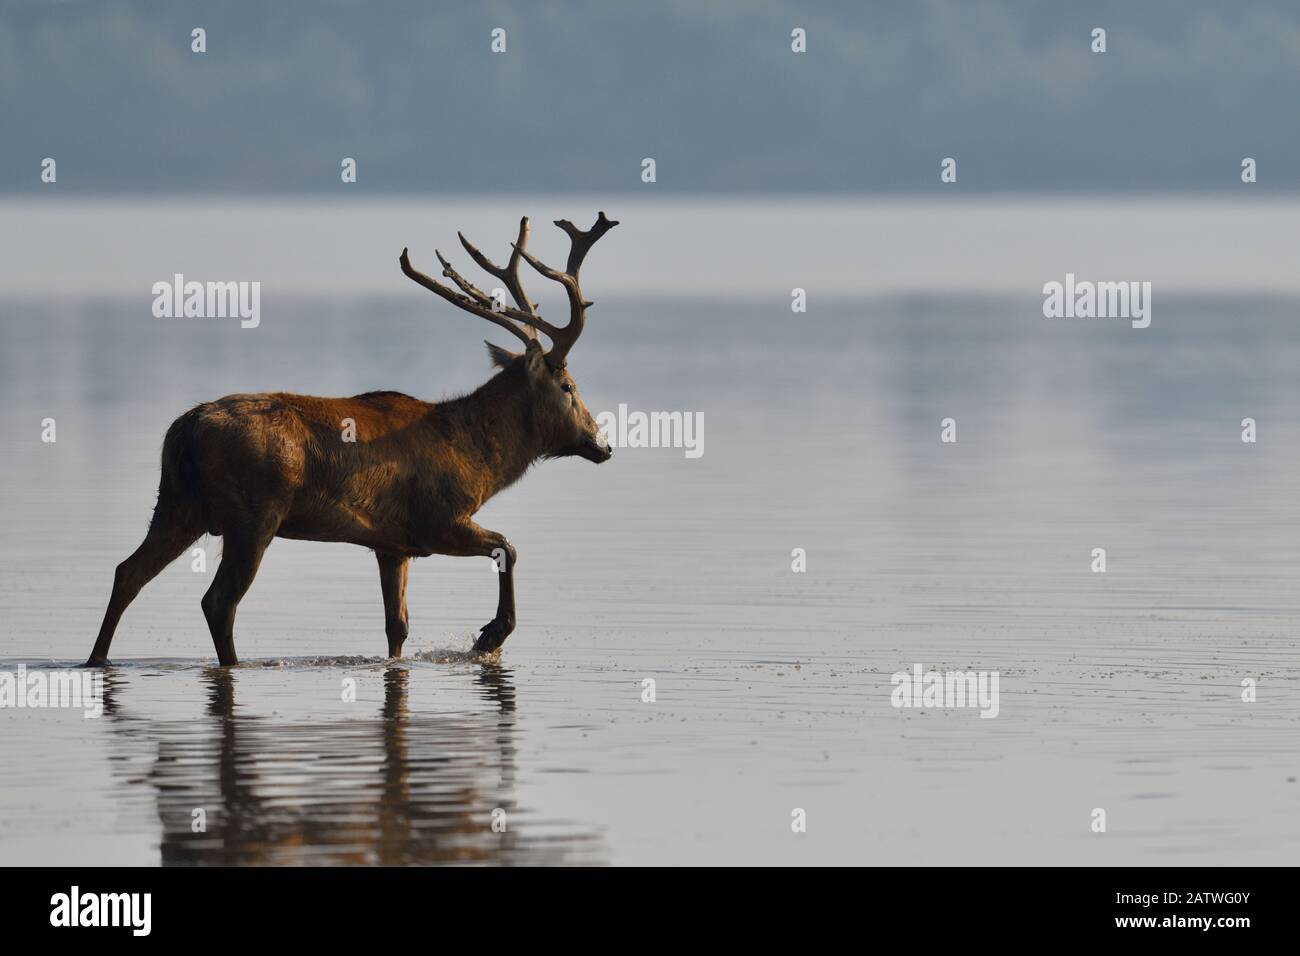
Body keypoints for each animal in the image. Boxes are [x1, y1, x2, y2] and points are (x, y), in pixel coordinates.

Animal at [87, 214, 618, 671]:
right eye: (568, 386)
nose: (603, 445)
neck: (479, 461)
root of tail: (187, 427)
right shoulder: (437, 520)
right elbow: (509, 545)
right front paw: (490, 635)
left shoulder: (392, 544)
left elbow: (396, 626)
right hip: (253, 512)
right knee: (218, 601)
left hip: (179, 501)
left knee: (127, 572)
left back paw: (95, 659)